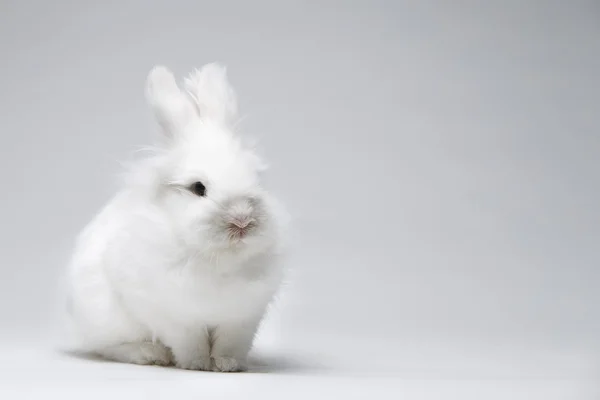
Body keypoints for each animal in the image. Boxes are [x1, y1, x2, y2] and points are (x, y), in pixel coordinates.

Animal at [64, 62, 290, 372]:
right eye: (198, 188)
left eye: (256, 179)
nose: (242, 221)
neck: (217, 257)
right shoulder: (173, 314)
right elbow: (189, 342)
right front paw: (197, 364)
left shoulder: (241, 319)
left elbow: (229, 344)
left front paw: (227, 365)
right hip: (107, 318)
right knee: (110, 347)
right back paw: (150, 354)